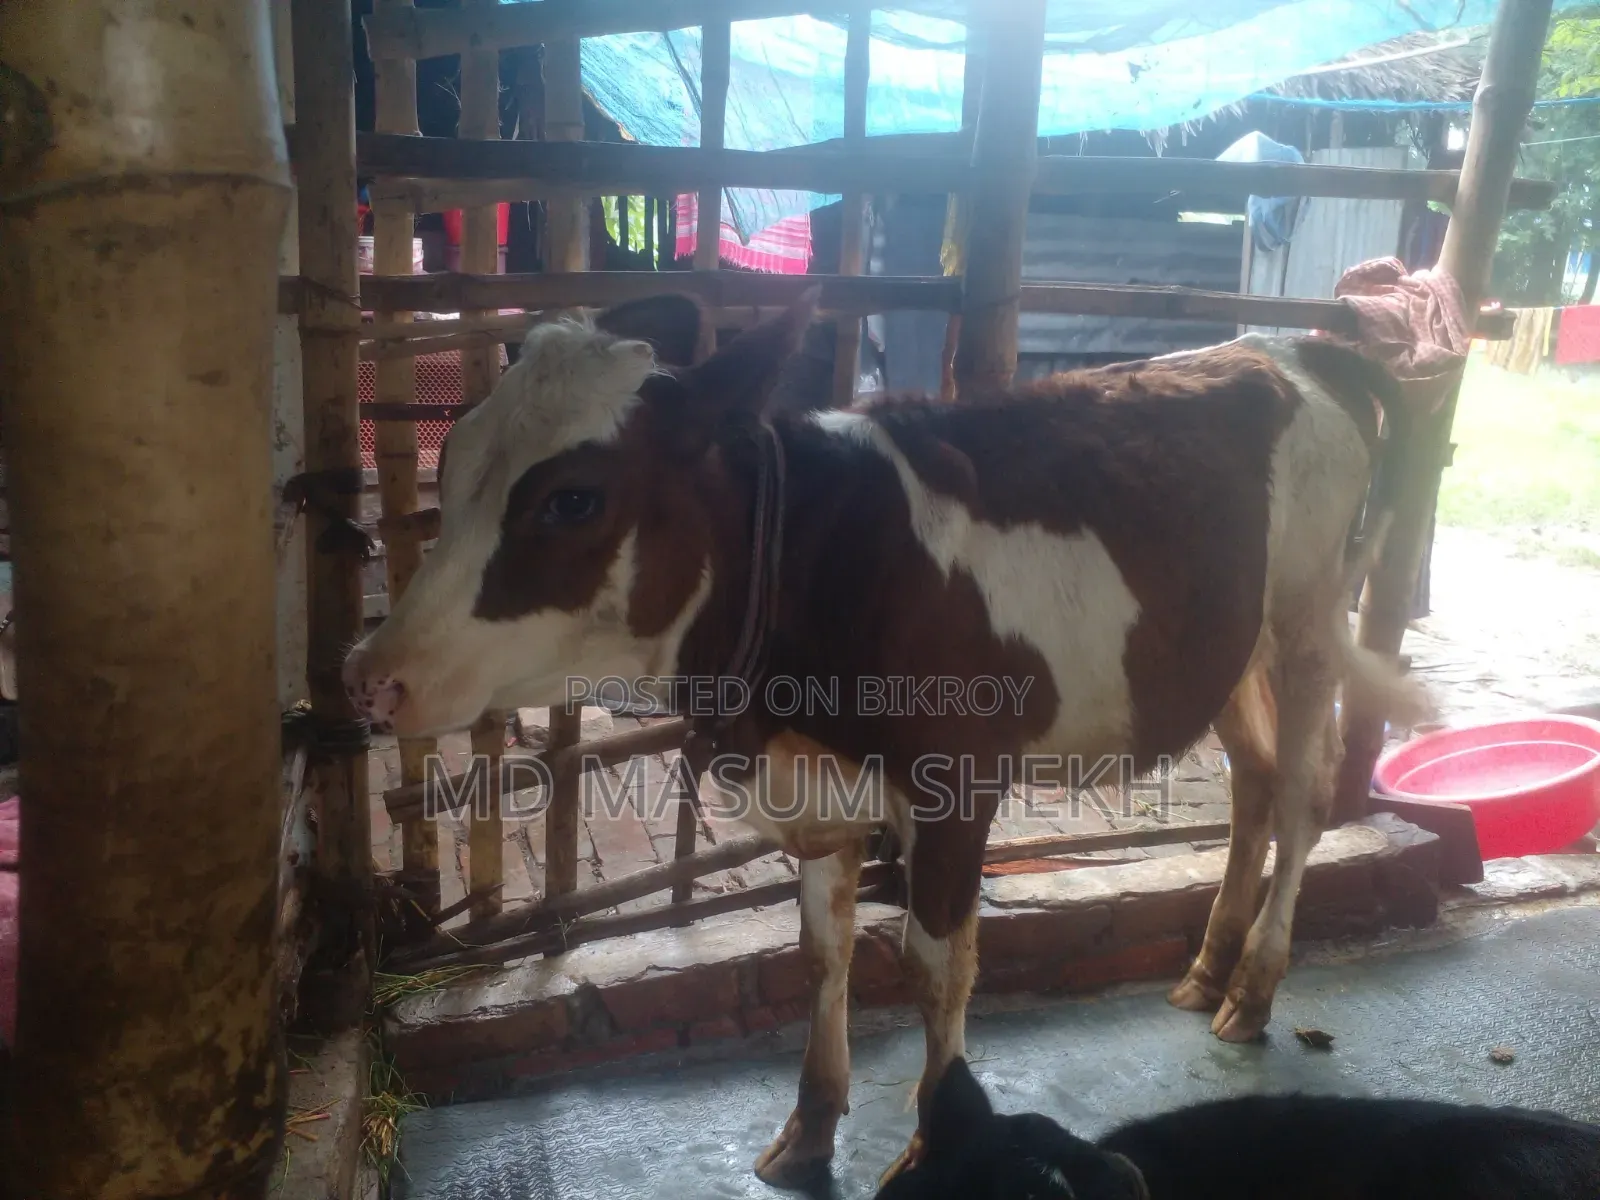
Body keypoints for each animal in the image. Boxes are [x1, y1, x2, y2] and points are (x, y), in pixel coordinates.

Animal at [342, 290, 1429, 1189]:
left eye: (572, 497)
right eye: (453, 458)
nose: (370, 676)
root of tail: (1295, 345)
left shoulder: (957, 786)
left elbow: (933, 965)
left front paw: (934, 1144)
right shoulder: (821, 792)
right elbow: (822, 955)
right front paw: (808, 1130)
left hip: (1310, 621)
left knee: (1301, 796)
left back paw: (1252, 987)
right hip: (1230, 648)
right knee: (1253, 786)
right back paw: (1205, 969)